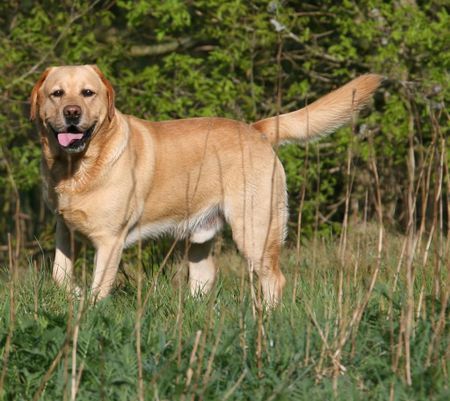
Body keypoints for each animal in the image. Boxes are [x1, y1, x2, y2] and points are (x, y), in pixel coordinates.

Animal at [29, 65, 382, 304]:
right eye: (56, 93)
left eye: (87, 93)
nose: (71, 113)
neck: (76, 168)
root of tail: (256, 129)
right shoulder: (64, 229)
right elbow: (59, 275)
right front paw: (74, 293)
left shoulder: (109, 241)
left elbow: (99, 289)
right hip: (200, 241)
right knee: (204, 280)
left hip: (255, 230)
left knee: (274, 279)